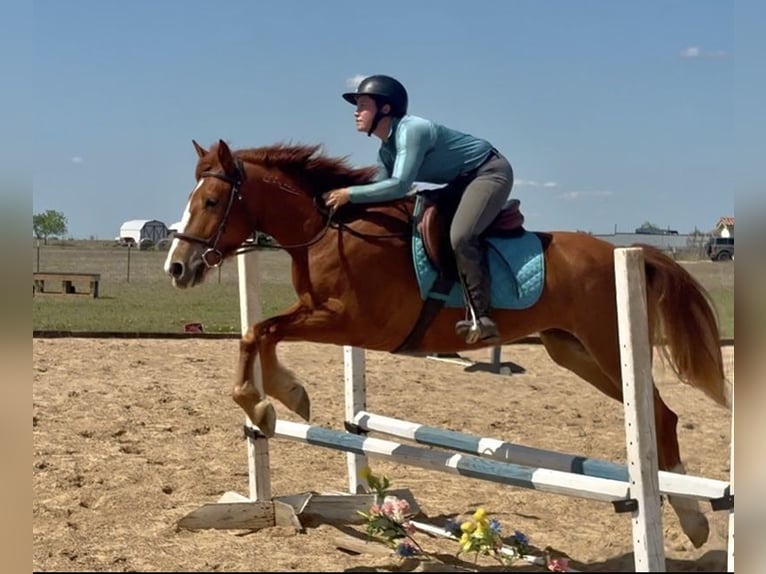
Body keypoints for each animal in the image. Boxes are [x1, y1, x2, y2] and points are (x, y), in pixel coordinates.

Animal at [164, 139, 730, 549]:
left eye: (211, 201)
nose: (177, 269)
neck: (330, 230)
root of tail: (632, 252)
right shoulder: (325, 315)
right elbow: (258, 333)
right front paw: (274, 402)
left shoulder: (350, 321)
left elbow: (261, 331)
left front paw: (272, 401)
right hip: (575, 352)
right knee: (657, 416)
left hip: (610, 347)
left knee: (661, 418)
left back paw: (694, 520)